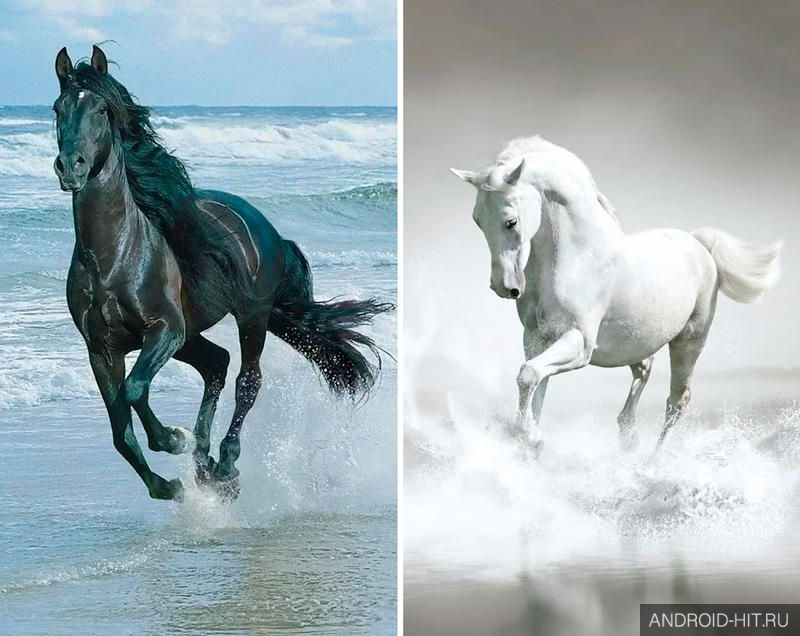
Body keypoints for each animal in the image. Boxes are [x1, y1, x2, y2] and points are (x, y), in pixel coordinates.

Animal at [53, 45, 391, 501]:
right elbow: (120, 431)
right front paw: (168, 484)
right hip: (192, 334)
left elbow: (136, 390)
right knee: (217, 363)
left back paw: (224, 463)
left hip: (250, 317)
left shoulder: (164, 329)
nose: (70, 167)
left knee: (247, 380)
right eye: (58, 108)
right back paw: (205, 464)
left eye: (102, 110)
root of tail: (265, 227)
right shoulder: (101, 349)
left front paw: (173, 439)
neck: (113, 256)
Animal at [451, 135, 782, 454]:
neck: (578, 257)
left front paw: (532, 438)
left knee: (677, 401)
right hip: (636, 342)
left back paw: (650, 463)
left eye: (511, 221)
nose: (504, 287)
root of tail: (698, 244)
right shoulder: (536, 338)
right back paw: (628, 436)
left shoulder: (579, 343)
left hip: (689, 341)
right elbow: (535, 386)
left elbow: (529, 375)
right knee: (644, 372)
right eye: (477, 220)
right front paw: (530, 440)